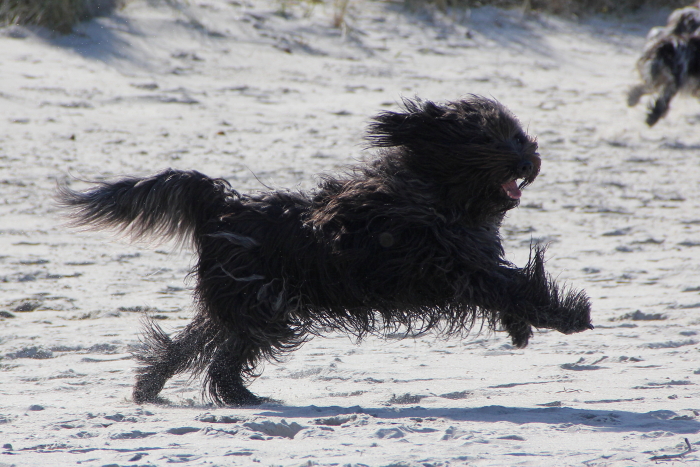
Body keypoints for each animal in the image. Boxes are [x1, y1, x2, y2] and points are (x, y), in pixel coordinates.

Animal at [58, 96, 593, 406]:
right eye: (487, 138)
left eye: (517, 133)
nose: (528, 158)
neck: (434, 192)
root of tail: (223, 206)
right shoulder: (448, 263)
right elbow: (515, 284)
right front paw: (569, 315)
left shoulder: (466, 260)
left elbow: (509, 286)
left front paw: (521, 327)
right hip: (265, 303)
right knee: (224, 351)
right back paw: (236, 394)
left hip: (249, 302)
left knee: (197, 342)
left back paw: (156, 387)